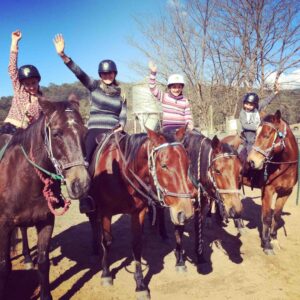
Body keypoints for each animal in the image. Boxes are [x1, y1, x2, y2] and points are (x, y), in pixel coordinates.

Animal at [0, 98, 89, 300]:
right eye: (56, 134)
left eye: (84, 132)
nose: (81, 184)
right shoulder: (4, 225)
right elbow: (5, 266)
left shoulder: (46, 221)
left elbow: (43, 262)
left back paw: (27, 257)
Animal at [88, 127, 196, 300]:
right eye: (164, 165)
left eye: (188, 163)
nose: (185, 212)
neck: (121, 174)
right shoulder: (105, 212)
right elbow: (107, 241)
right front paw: (105, 274)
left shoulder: (138, 212)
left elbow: (137, 245)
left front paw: (140, 284)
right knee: (93, 223)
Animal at [223, 111, 298, 254]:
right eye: (257, 135)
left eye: (267, 135)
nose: (252, 161)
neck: (283, 166)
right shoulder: (268, 191)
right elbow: (267, 217)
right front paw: (267, 244)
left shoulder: (286, 193)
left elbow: (277, 216)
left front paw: (274, 239)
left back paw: (239, 225)